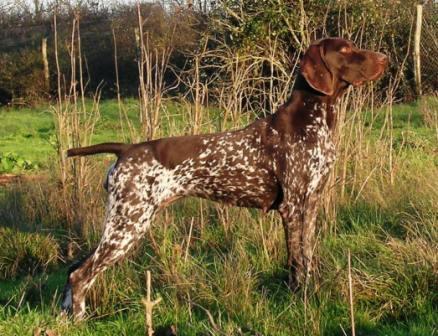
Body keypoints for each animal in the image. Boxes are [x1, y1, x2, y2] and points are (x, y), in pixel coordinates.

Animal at [60, 38, 386, 318]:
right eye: (344, 50)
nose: (385, 58)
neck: (311, 120)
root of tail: (126, 150)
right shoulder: (293, 206)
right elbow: (296, 261)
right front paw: (300, 297)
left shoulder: (312, 203)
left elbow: (307, 254)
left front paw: (312, 289)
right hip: (129, 223)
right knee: (81, 274)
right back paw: (79, 318)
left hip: (124, 223)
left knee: (75, 267)